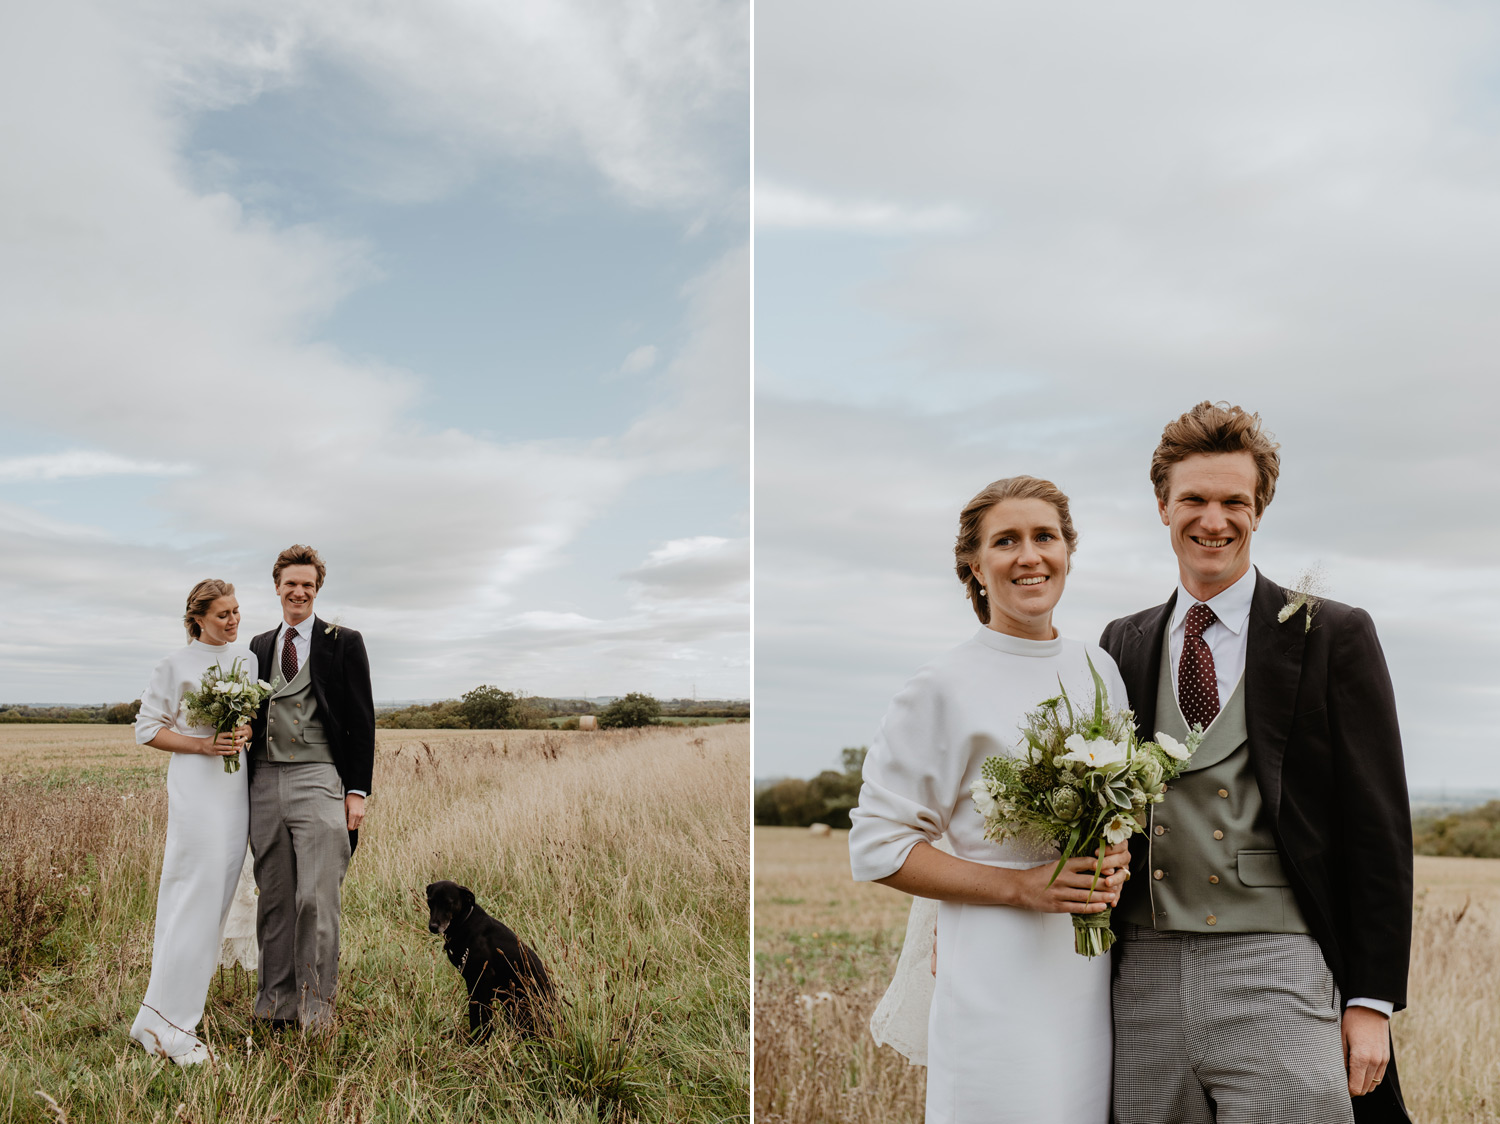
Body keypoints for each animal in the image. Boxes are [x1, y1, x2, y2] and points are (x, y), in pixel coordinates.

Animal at [426, 882, 555, 1038]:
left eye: (448, 903)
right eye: (430, 901)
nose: (433, 927)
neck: (464, 921)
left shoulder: (483, 979)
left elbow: (481, 1015)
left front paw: (479, 1039)